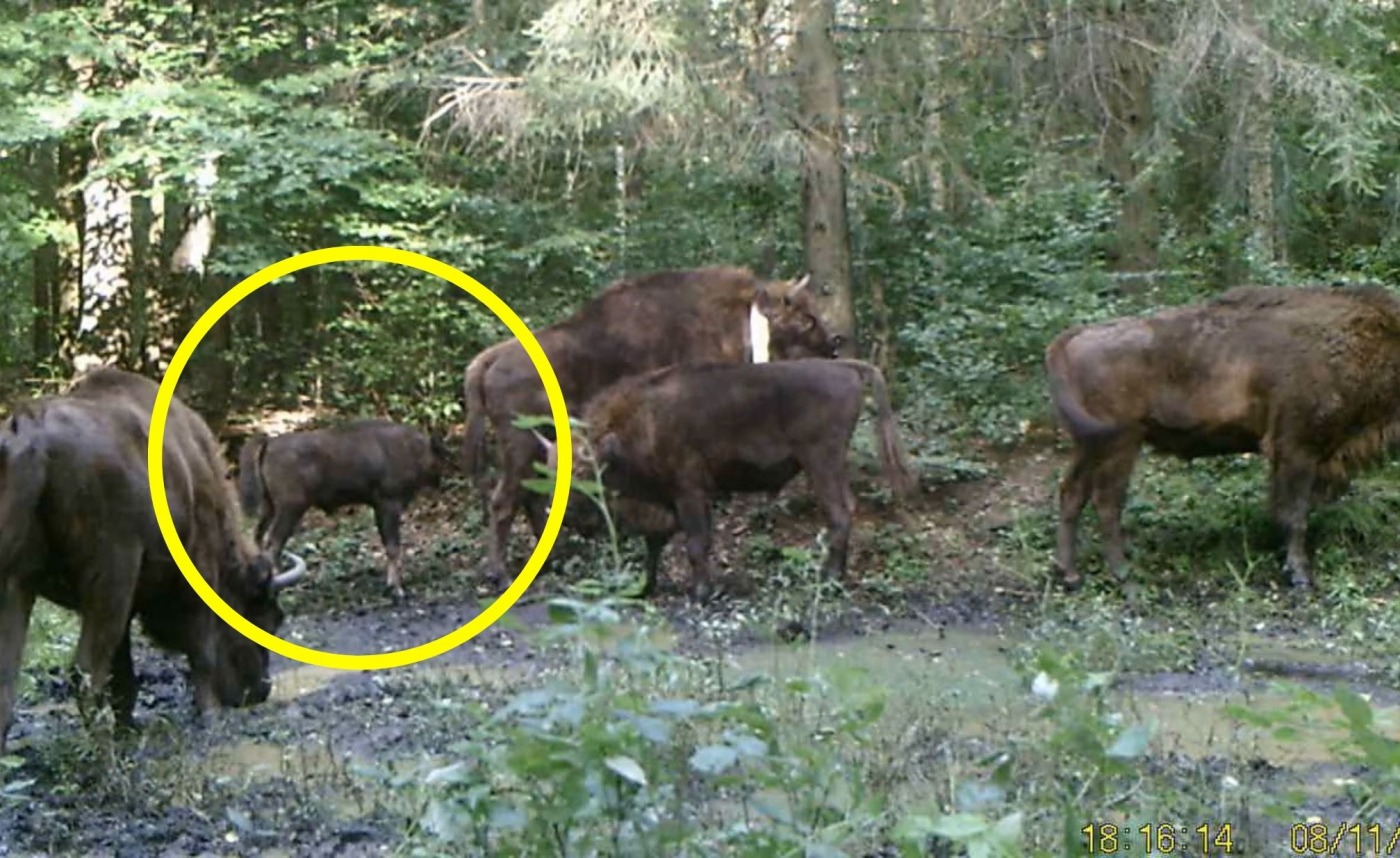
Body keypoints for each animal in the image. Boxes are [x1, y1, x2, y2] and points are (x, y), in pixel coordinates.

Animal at [0, 366, 306, 750]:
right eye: (266, 616)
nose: (259, 691)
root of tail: (33, 434)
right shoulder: (195, 574)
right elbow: (201, 648)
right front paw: (209, 713)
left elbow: (124, 671)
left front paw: (128, 725)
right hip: (108, 575)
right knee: (85, 673)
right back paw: (101, 753)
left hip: (17, 582)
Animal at [239, 419, 448, 596]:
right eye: (440, 455)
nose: (441, 483)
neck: (413, 448)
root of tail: (269, 443)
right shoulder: (389, 505)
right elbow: (393, 546)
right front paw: (397, 589)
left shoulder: (379, 508)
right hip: (291, 508)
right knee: (273, 545)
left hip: (270, 507)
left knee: (259, 539)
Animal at [470, 264, 840, 585]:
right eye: (805, 319)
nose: (834, 344)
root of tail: (490, 359)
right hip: (520, 447)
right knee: (504, 501)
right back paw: (500, 573)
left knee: (530, 498)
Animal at [534, 354, 918, 596]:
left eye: (583, 470)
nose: (562, 514)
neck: (639, 422)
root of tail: (844, 368)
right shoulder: (669, 499)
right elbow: (657, 542)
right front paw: (645, 587)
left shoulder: (689, 492)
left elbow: (695, 542)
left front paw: (702, 591)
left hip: (821, 461)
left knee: (840, 512)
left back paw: (830, 580)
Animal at [1047, 284, 1400, 593]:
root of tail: (1071, 338)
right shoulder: (1296, 448)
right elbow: (1296, 514)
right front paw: (1300, 575)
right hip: (1120, 445)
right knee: (1106, 502)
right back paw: (1124, 577)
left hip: (1089, 446)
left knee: (1072, 493)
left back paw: (1070, 575)